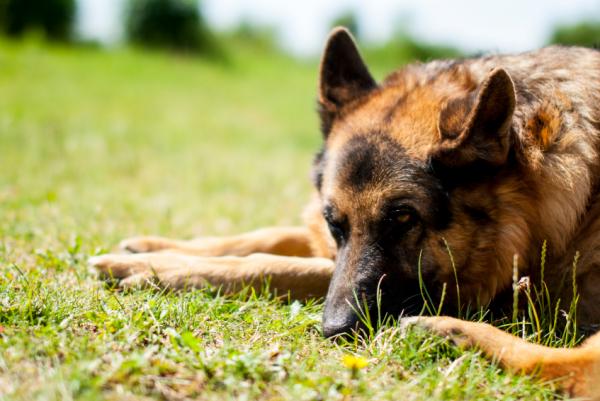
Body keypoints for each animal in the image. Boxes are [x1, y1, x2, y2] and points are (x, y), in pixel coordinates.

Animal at [89, 28, 600, 396]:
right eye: (335, 222)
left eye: (404, 218)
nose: (333, 330)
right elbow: (271, 237)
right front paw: (149, 250)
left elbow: (279, 265)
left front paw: (160, 269)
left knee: (569, 366)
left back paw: (444, 334)